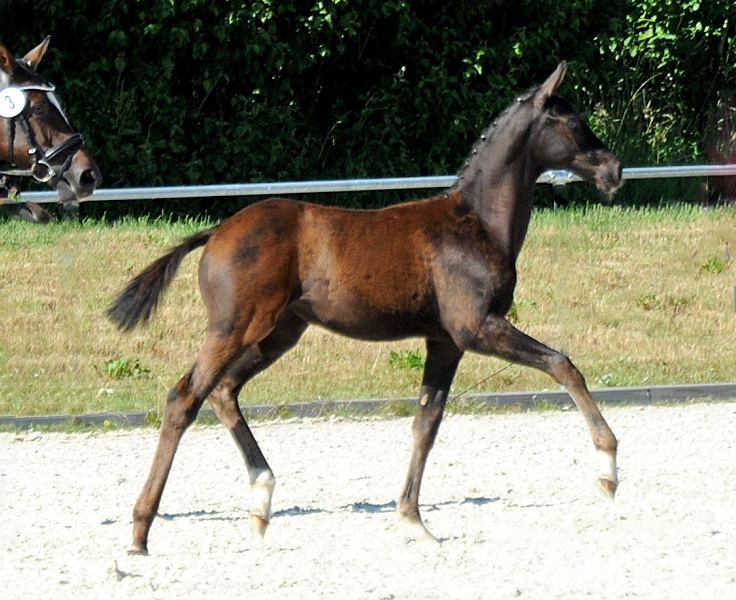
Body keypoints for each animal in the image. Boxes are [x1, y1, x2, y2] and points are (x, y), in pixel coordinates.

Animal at [109, 62, 624, 552]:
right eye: (574, 122)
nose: (614, 169)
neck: (476, 222)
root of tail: (216, 232)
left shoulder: (444, 341)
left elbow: (426, 424)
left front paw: (414, 521)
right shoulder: (476, 327)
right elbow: (563, 364)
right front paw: (608, 467)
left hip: (277, 333)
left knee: (223, 390)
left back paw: (260, 501)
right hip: (235, 326)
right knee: (184, 398)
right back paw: (140, 533)